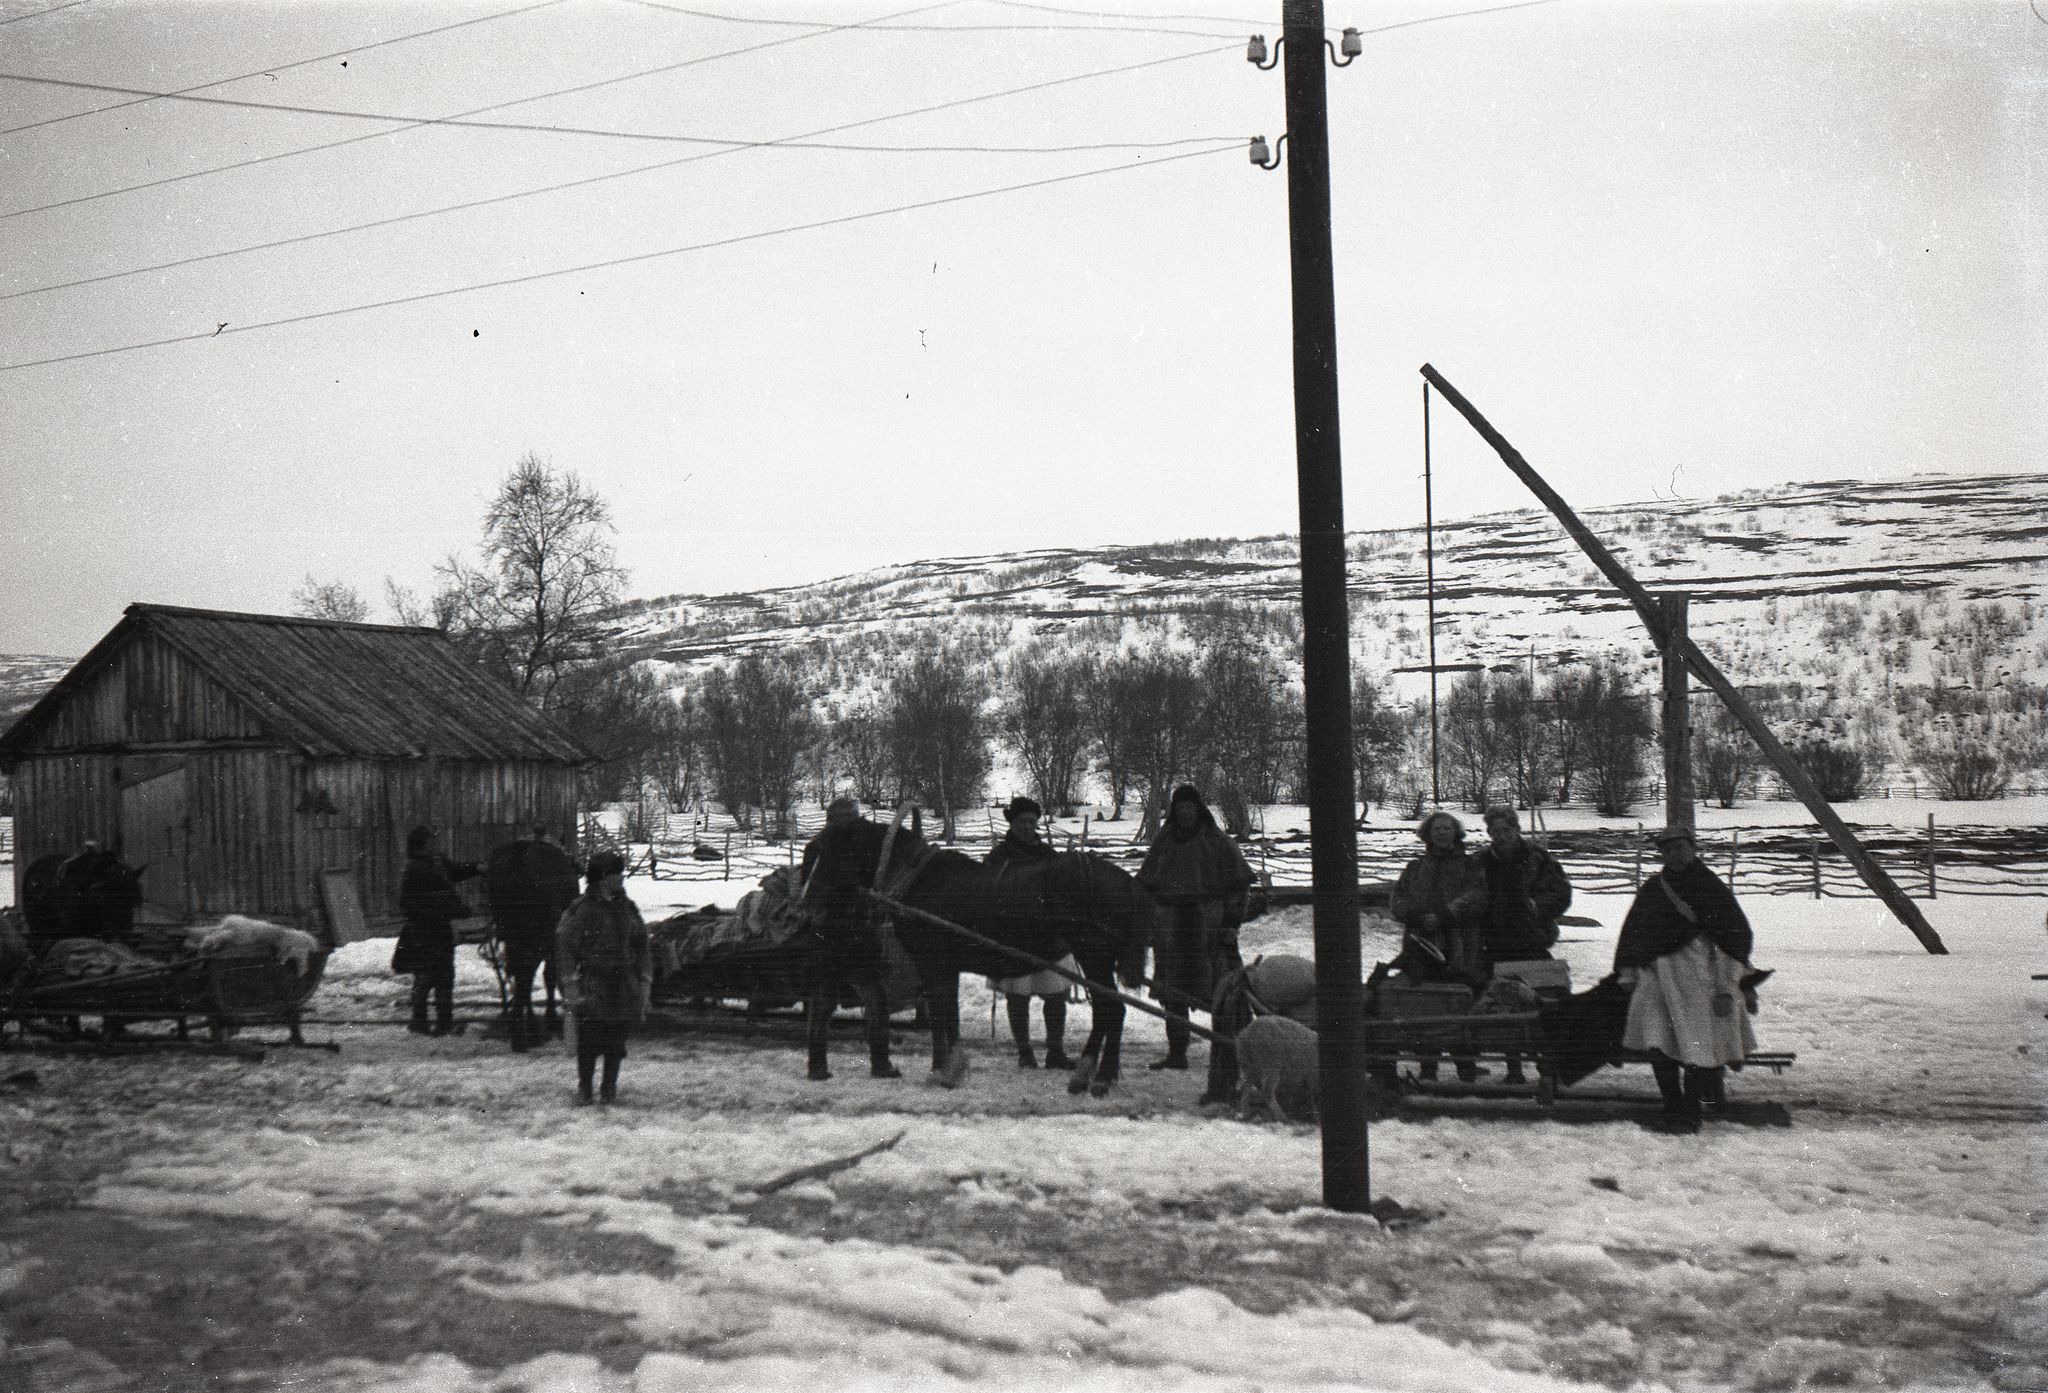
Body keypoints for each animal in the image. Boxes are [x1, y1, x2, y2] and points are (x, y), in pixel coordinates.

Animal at [798, 815, 1163, 1098]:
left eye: (826, 854)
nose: (804, 910)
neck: (916, 881)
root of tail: (1126, 880)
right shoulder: (946, 968)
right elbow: (948, 1017)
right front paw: (948, 1066)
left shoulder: (933, 964)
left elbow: (941, 1017)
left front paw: (943, 1071)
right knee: (1112, 1011)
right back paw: (1102, 1076)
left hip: (1094, 955)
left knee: (1110, 1009)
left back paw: (1092, 1077)